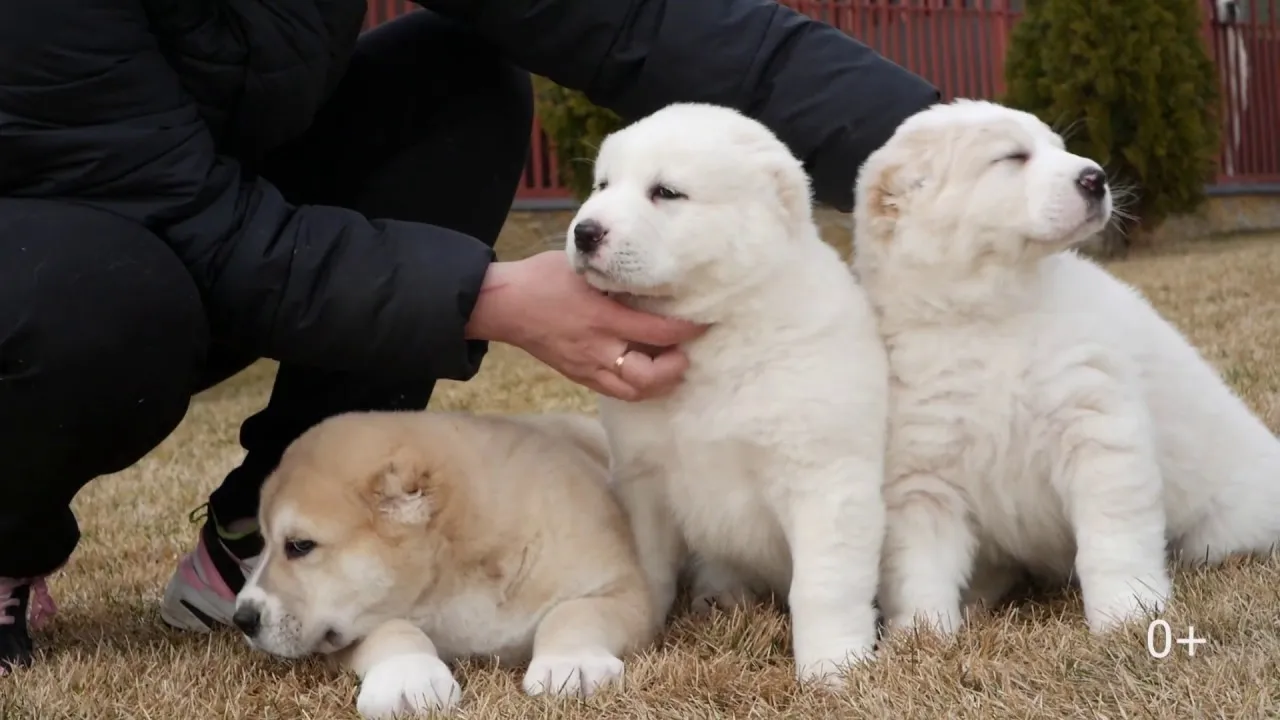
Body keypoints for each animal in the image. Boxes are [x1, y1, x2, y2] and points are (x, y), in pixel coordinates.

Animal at [230, 412, 655, 712]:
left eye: (300, 545)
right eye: (263, 541)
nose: (242, 619)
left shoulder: (624, 592)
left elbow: (573, 613)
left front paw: (570, 665)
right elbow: (391, 630)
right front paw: (409, 677)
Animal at [565, 102, 896, 681]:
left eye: (666, 192)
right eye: (603, 184)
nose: (585, 231)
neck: (717, 334)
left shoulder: (826, 482)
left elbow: (823, 586)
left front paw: (832, 668)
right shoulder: (644, 480)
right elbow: (649, 570)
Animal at [849, 99, 1280, 632]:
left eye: (1058, 148)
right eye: (1012, 157)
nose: (1095, 177)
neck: (986, 315)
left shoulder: (1098, 432)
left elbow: (1112, 538)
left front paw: (1126, 611)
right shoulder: (923, 477)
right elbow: (919, 568)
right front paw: (922, 634)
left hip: (1224, 525)